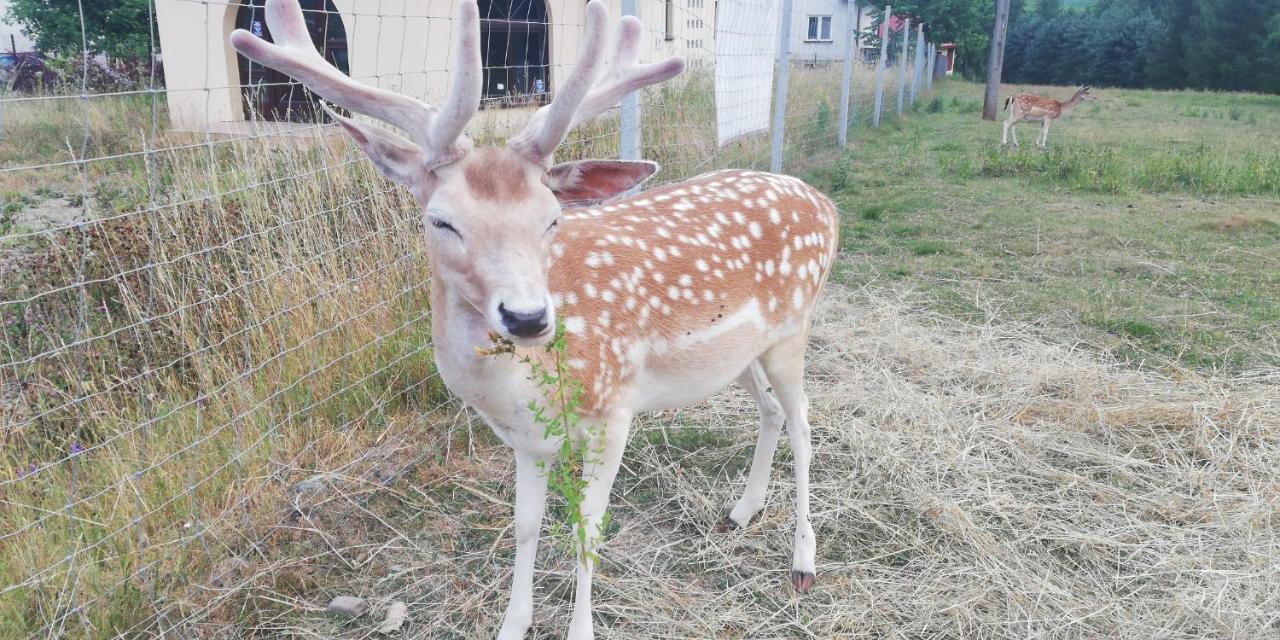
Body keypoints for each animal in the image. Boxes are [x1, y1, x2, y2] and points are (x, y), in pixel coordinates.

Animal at [232, 2, 839, 637]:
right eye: (440, 220)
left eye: (552, 218)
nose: (527, 317)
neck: (524, 390)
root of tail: (826, 203)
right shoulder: (525, 440)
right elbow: (524, 526)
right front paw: (512, 622)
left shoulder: (614, 409)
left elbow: (586, 529)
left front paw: (580, 628)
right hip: (739, 354)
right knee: (771, 412)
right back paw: (742, 511)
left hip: (795, 327)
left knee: (804, 424)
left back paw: (803, 561)